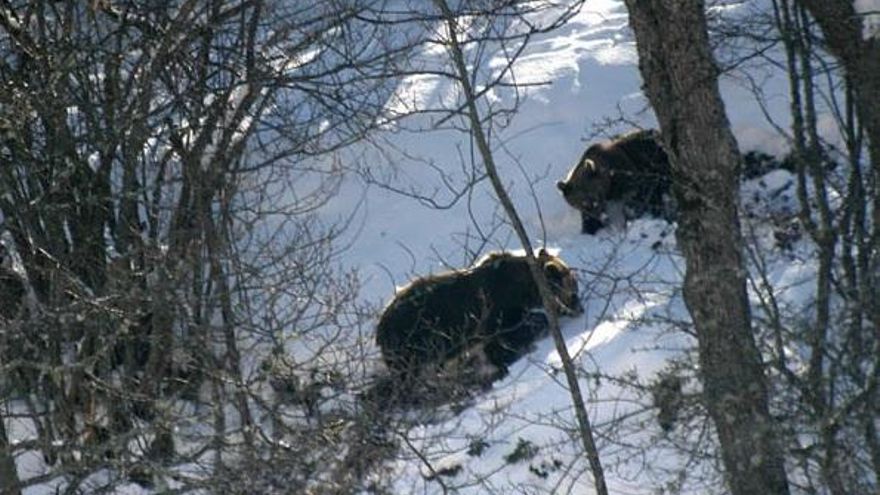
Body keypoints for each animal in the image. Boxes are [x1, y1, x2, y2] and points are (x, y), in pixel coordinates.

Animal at [375, 249, 583, 385]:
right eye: (574, 292)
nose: (580, 309)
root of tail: (380, 327)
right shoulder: (497, 311)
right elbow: (505, 336)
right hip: (412, 341)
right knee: (407, 373)